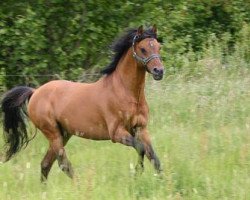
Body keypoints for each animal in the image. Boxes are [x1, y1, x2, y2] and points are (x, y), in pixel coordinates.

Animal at [0, 24, 164, 181]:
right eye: (143, 49)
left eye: (158, 47)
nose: (159, 71)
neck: (127, 93)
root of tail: (35, 92)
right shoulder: (117, 133)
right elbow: (141, 148)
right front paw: (137, 173)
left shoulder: (141, 129)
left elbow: (154, 157)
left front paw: (160, 181)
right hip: (53, 134)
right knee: (63, 164)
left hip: (63, 134)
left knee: (46, 164)